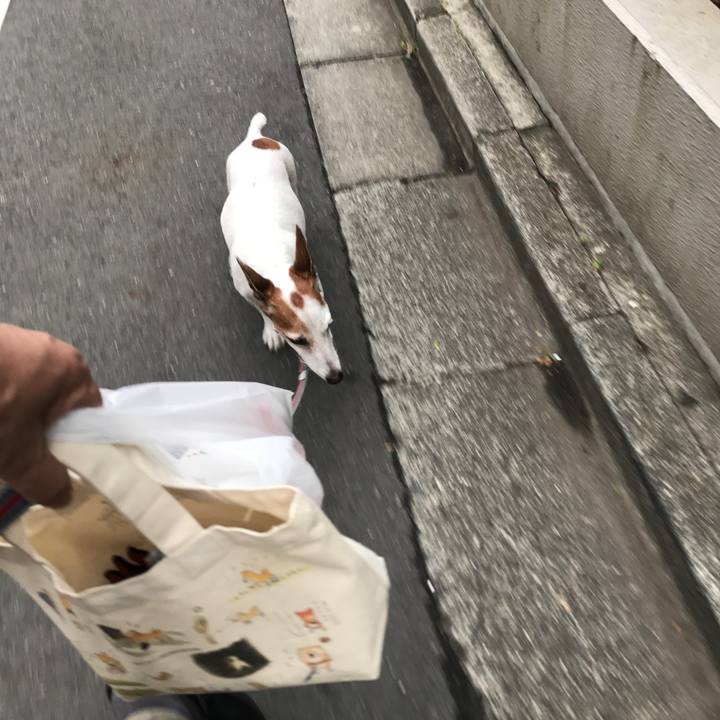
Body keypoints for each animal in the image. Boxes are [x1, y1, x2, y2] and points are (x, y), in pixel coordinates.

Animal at [221, 113, 343, 384]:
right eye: (297, 341)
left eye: (329, 325)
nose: (336, 377)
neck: (272, 261)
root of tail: (255, 138)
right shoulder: (247, 291)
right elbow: (262, 311)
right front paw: (271, 330)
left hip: (290, 166)